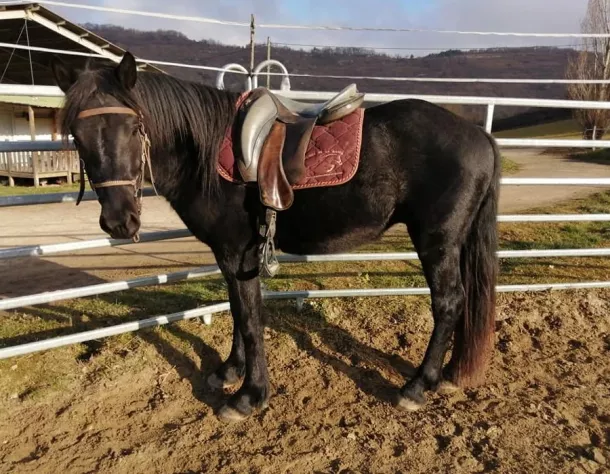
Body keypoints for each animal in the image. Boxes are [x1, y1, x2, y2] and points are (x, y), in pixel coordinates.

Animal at [50, 52, 500, 423]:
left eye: (134, 126)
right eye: (76, 134)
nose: (119, 222)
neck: (208, 154)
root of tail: (479, 135)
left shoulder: (239, 253)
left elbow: (251, 320)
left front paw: (249, 397)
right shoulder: (230, 257)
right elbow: (237, 312)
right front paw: (230, 371)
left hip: (436, 242)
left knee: (448, 303)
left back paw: (418, 386)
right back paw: (449, 373)